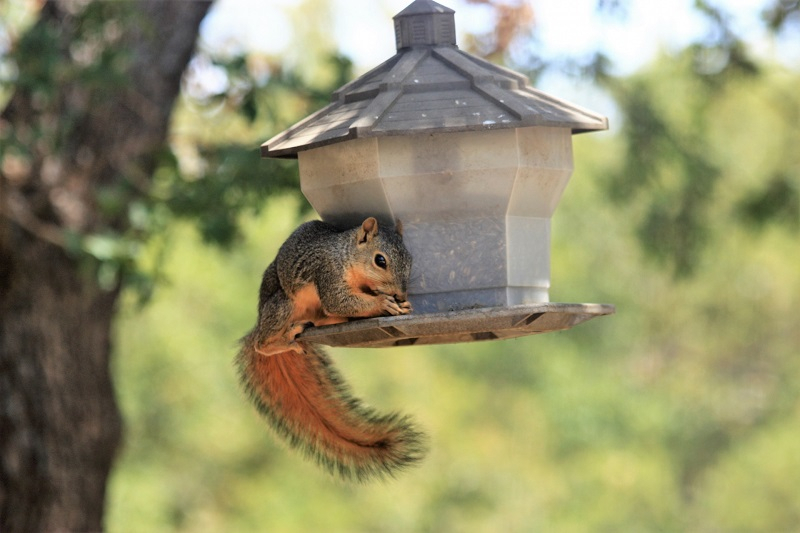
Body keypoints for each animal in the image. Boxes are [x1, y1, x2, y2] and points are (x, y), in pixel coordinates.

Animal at [234, 214, 428, 480]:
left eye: (410, 259)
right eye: (380, 260)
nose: (400, 294)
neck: (348, 256)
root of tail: (259, 320)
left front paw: (401, 304)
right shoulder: (328, 272)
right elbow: (339, 300)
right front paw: (383, 303)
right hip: (282, 307)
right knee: (262, 343)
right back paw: (284, 338)